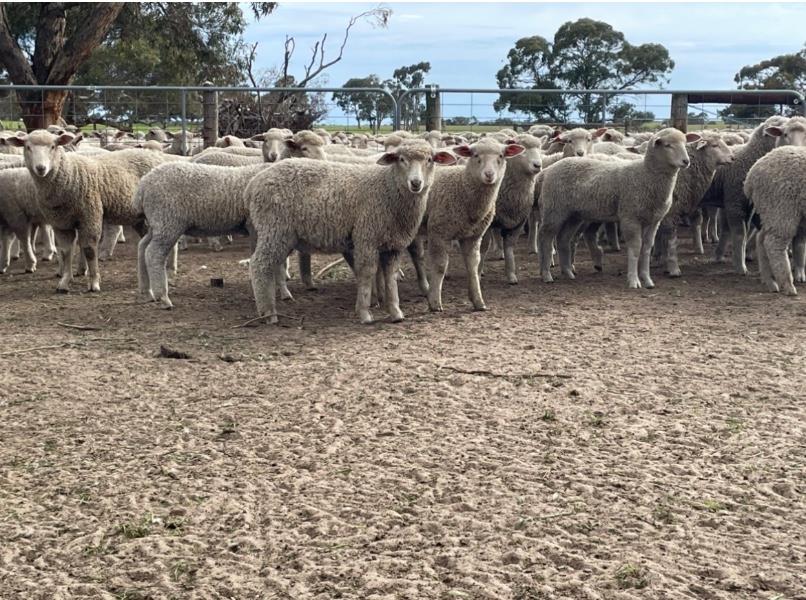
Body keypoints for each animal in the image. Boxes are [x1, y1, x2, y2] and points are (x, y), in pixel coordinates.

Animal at [6, 130, 171, 292]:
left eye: (53, 146)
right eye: (27, 147)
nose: (41, 168)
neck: (70, 174)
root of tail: (155, 155)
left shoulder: (90, 215)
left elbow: (89, 250)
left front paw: (94, 283)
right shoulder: (61, 222)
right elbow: (66, 251)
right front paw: (65, 282)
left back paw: (167, 268)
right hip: (138, 216)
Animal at [249, 140, 458, 324]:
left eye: (430, 160)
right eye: (401, 159)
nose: (416, 183)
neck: (388, 190)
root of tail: (254, 184)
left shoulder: (393, 245)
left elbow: (390, 277)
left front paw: (395, 312)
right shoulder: (367, 237)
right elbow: (367, 273)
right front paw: (365, 313)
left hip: (280, 234)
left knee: (270, 264)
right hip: (275, 228)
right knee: (259, 265)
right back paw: (268, 313)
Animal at [480, 135, 544, 284]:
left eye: (540, 148)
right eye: (522, 148)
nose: (538, 165)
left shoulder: (518, 222)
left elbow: (509, 247)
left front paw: (511, 275)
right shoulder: (487, 223)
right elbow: (483, 247)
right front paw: (478, 272)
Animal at [540, 127, 696, 290]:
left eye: (685, 143)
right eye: (667, 145)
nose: (686, 161)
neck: (645, 175)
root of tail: (549, 169)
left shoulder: (654, 220)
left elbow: (646, 248)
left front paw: (647, 280)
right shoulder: (630, 217)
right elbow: (635, 248)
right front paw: (633, 281)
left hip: (573, 215)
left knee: (562, 239)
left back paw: (568, 272)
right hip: (554, 210)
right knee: (545, 238)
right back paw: (546, 274)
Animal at [744, 145, 806, 296]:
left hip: (770, 212)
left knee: (761, 240)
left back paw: (770, 282)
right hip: (782, 210)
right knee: (773, 244)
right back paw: (787, 285)